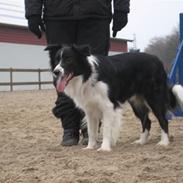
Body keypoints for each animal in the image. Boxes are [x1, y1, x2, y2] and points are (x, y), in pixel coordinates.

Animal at [45, 44, 183, 152]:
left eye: (68, 60)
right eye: (57, 60)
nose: (56, 72)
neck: (87, 74)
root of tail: (157, 60)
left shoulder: (108, 106)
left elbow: (106, 128)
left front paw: (105, 148)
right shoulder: (90, 109)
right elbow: (91, 130)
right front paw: (90, 147)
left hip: (154, 98)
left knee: (163, 120)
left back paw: (164, 143)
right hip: (137, 102)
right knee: (147, 121)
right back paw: (141, 141)